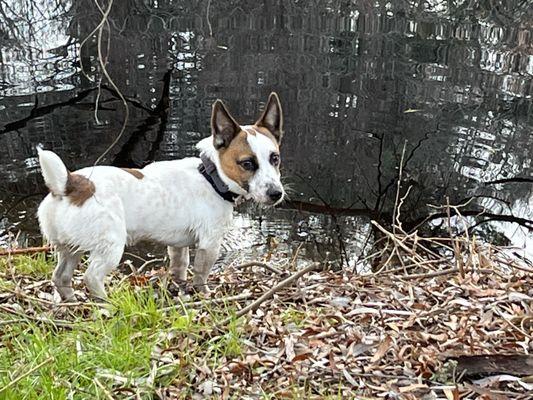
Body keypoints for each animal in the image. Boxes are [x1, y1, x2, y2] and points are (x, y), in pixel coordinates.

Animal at [37, 93, 284, 300]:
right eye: (247, 164)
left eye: (275, 158)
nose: (276, 193)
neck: (210, 176)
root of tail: (70, 184)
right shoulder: (210, 244)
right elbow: (201, 274)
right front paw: (204, 294)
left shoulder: (178, 246)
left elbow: (179, 266)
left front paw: (180, 288)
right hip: (110, 247)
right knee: (91, 277)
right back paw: (107, 304)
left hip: (71, 249)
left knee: (61, 276)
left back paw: (71, 301)